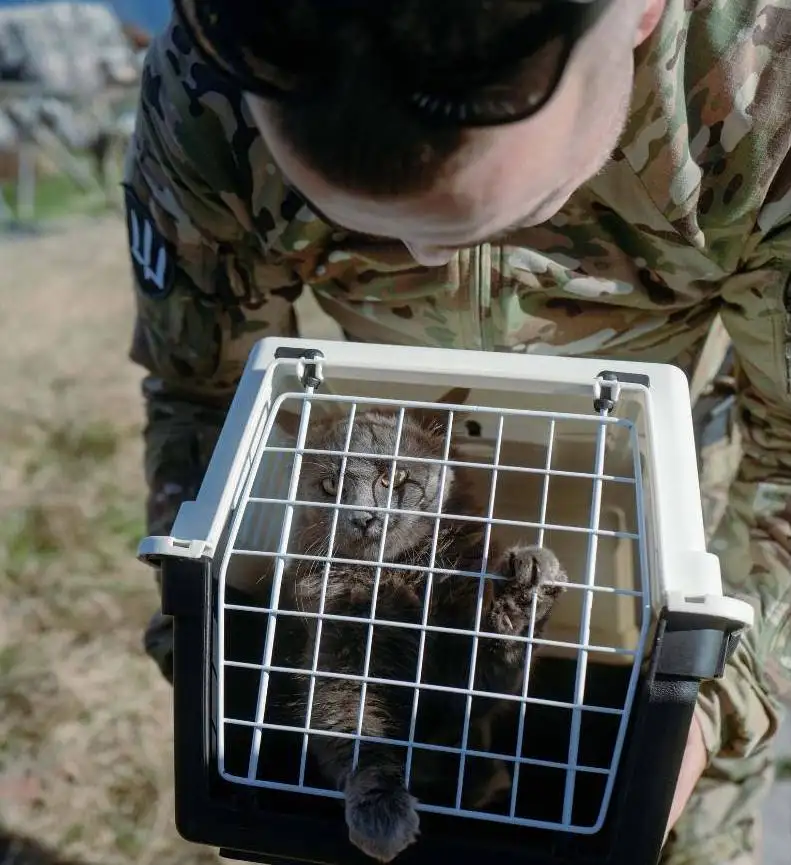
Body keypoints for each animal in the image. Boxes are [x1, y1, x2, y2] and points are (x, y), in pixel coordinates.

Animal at [276, 390, 568, 856]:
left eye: (394, 478)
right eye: (330, 487)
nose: (363, 518)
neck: (397, 578)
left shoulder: (462, 689)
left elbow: (489, 672)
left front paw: (527, 587)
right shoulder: (339, 659)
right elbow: (353, 729)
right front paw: (381, 816)